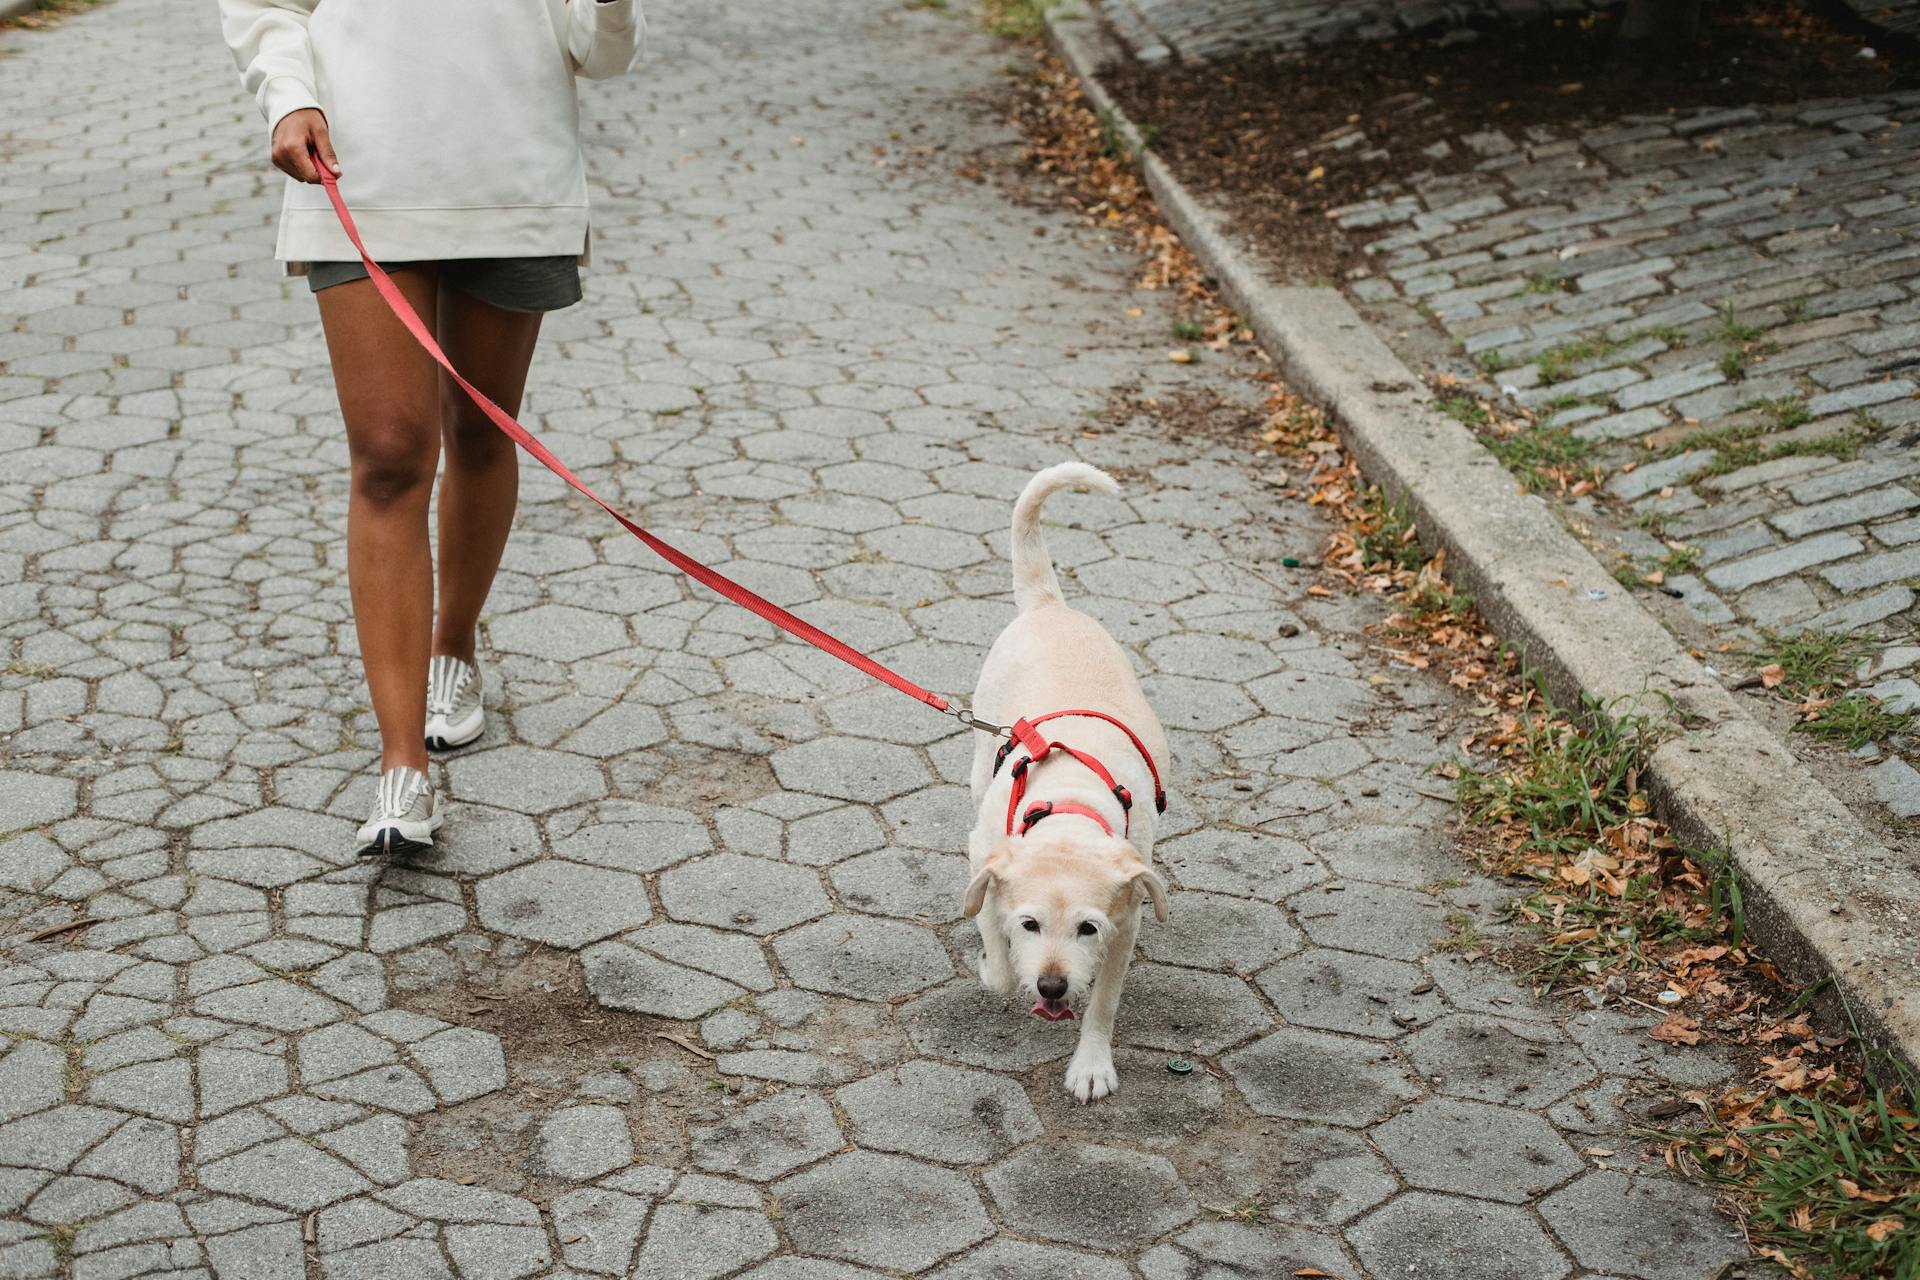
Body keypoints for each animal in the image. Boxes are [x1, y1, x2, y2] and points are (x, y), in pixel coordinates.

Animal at [960, 460, 1167, 1105]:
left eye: (1087, 927)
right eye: (1030, 924)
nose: (1051, 987)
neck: (1071, 806)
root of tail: (1050, 607)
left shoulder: (1126, 923)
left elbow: (1103, 1002)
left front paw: (1091, 1065)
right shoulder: (986, 861)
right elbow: (1000, 960)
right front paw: (995, 965)